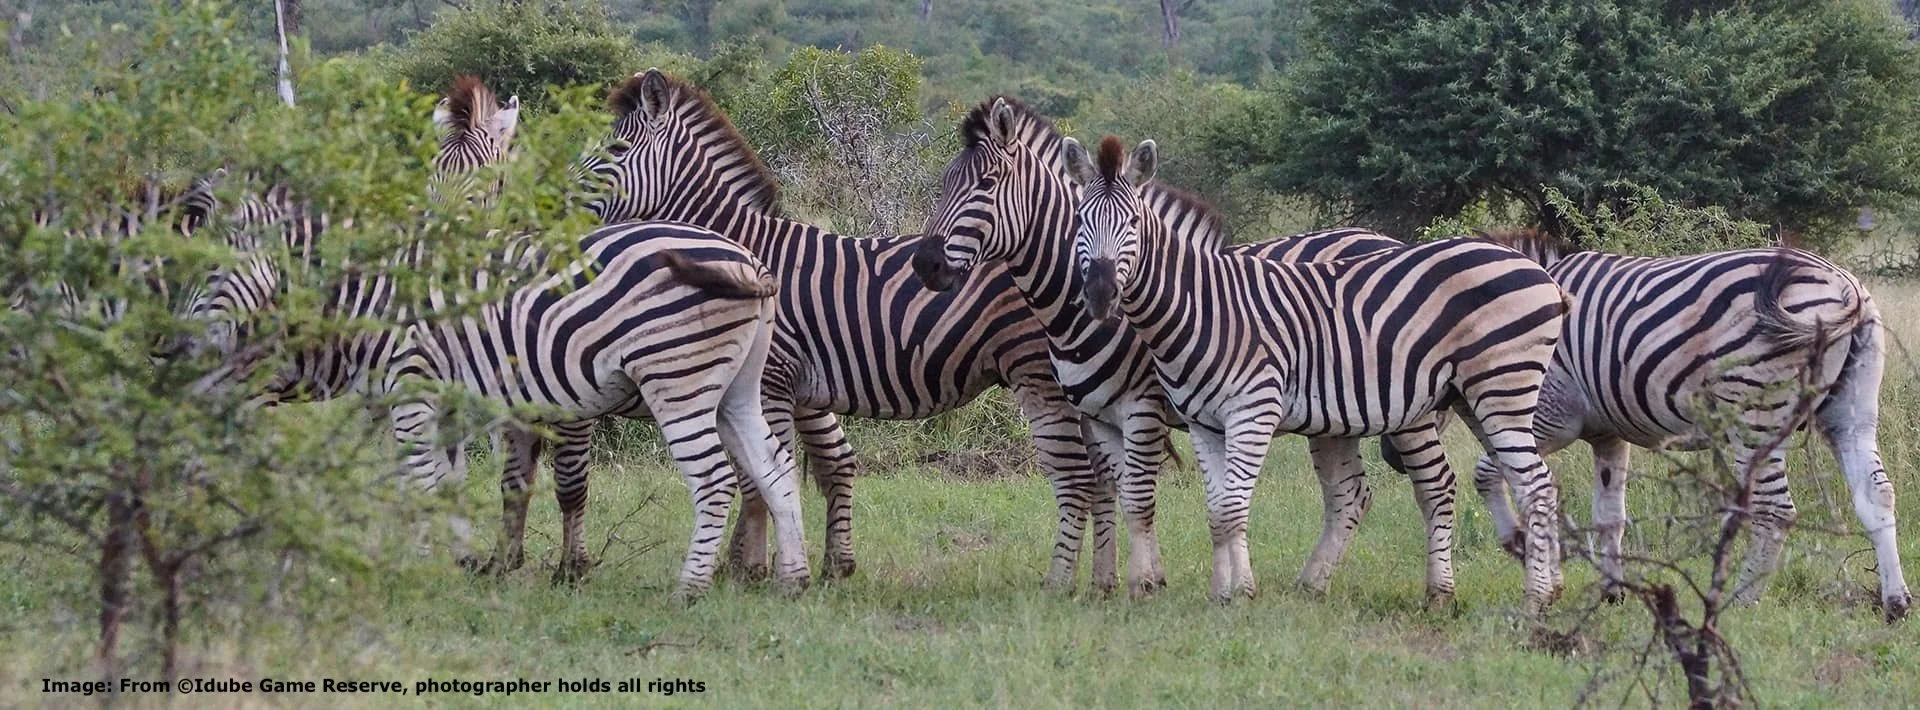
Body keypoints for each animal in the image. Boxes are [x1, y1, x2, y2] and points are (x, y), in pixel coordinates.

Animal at [911, 97, 1469, 604]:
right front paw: (1123, 580)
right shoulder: (1095, 413)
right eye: (944, 183)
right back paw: (1311, 585)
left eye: (985, 186)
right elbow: (1112, 489)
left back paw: (1434, 591)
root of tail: (1385, 238)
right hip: (1337, 417)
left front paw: (1142, 584)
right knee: (1350, 494)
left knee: (1433, 486)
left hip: (1408, 409)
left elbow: (1137, 495)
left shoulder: (1142, 407)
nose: (926, 265)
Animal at [1476, 230, 1911, 622]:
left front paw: (1518, 543)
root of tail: (1844, 285)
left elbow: (1488, 473)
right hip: (1850, 411)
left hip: (1754, 415)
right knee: (1876, 494)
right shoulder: (1608, 433)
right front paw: (1612, 592)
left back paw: (1741, 600)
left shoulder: (1550, 414)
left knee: (1775, 511)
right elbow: (1609, 516)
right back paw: (1895, 602)